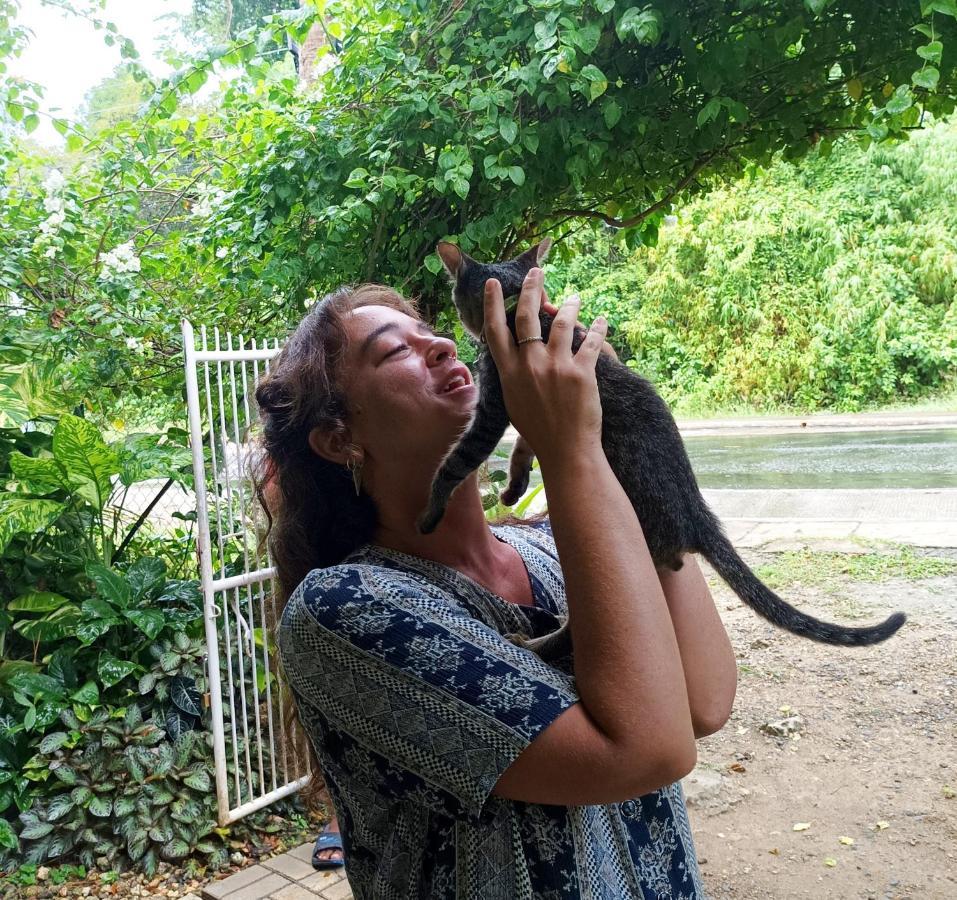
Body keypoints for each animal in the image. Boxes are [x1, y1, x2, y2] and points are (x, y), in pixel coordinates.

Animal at [416, 239, 904, 648]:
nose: (453, 327)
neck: (528, 315)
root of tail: (696, 511)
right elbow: (524, 446)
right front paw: (515, 484)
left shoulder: (493, 408)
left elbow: (457, 461)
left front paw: (431, 507)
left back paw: (535, 642)